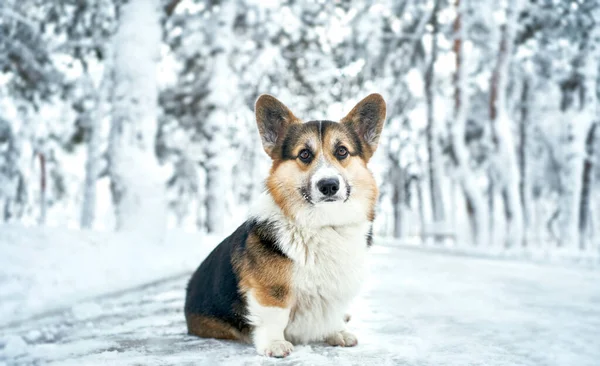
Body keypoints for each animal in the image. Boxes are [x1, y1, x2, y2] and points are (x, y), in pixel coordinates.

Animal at [185, 92, 386, 358]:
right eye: (304, 154)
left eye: (342, 151)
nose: (329, 185)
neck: (322, 225)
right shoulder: (271, 290)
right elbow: (274, 316)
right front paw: (274, 344)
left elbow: (332, 311)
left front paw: (336, 332)